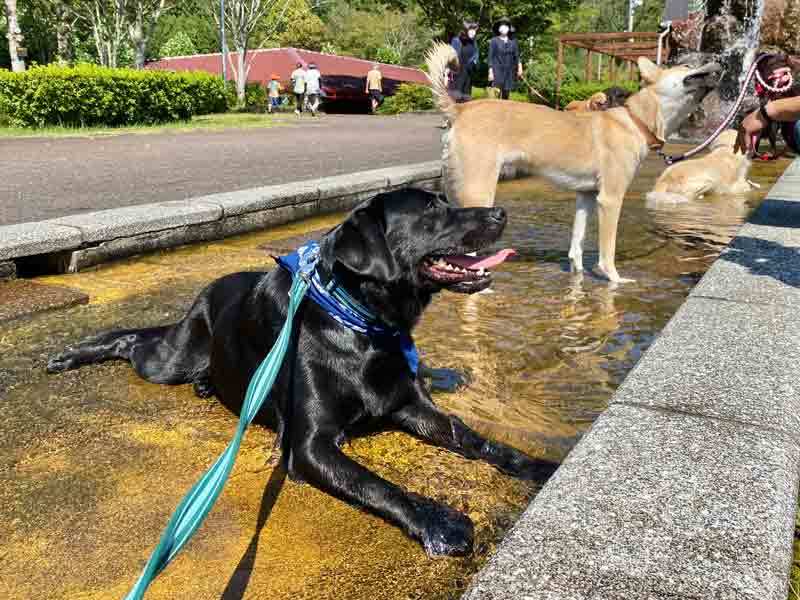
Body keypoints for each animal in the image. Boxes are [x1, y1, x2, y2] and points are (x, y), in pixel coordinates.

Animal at [428, 44, 720, 284]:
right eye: (688, 67)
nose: (718, 61)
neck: (636, 121)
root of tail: (459, 109)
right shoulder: (610, 200)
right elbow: (607, 253)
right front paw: (614, 279)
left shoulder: (586, 196)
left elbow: (576, 246)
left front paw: (577, 275)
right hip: (479, 192)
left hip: (457, 192)